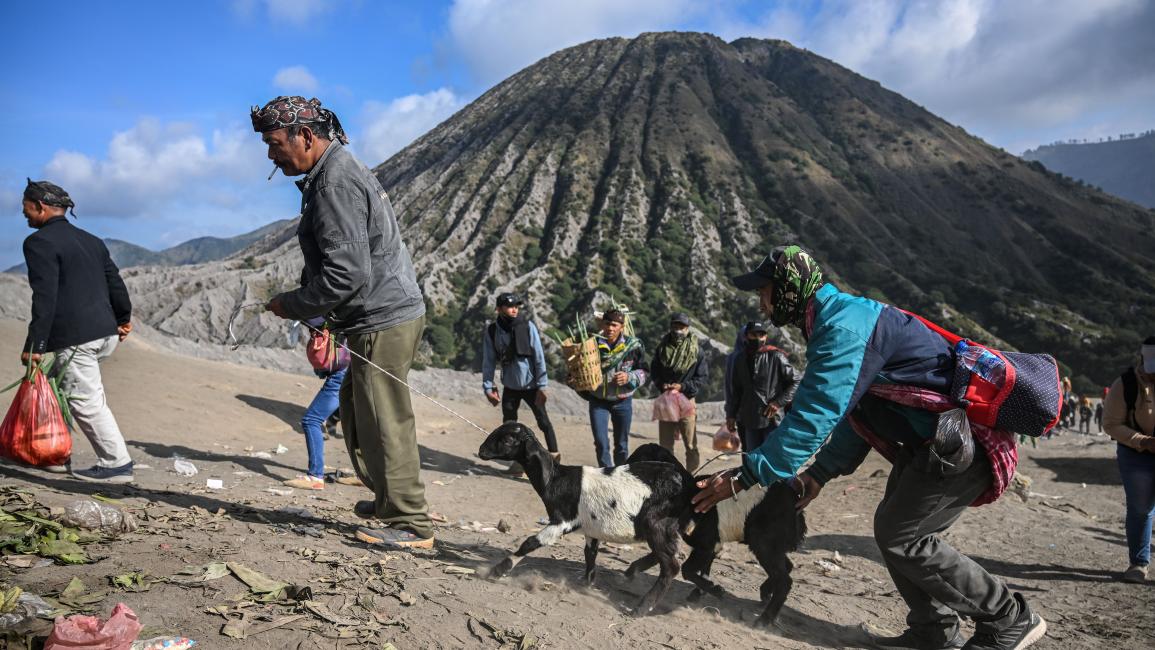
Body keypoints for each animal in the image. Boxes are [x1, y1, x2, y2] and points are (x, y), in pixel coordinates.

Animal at [475, 422, 693, 614]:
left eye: (508, 439)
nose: (481, 450)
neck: (556, 479)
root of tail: (685, 480)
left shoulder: (563, 520)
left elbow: (530, 542)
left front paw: (498, 570)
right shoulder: (591, 526)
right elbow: (590, 554)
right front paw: (586, 585)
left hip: (656, 522)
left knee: (671, 566)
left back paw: (641, 608)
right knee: (664, 555)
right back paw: (631, 573)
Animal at [623, 443, 803, 623]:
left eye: (639, 463)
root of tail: (793, 499)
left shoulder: (707, 544)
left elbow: (686, 570)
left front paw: (713, 589)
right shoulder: (706, 544)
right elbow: (667, 559)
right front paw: (631, 572)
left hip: (763, 542)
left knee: (784, 580)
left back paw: (765, 619)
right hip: (771, 544)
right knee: (787, 566)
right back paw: (765, 593)